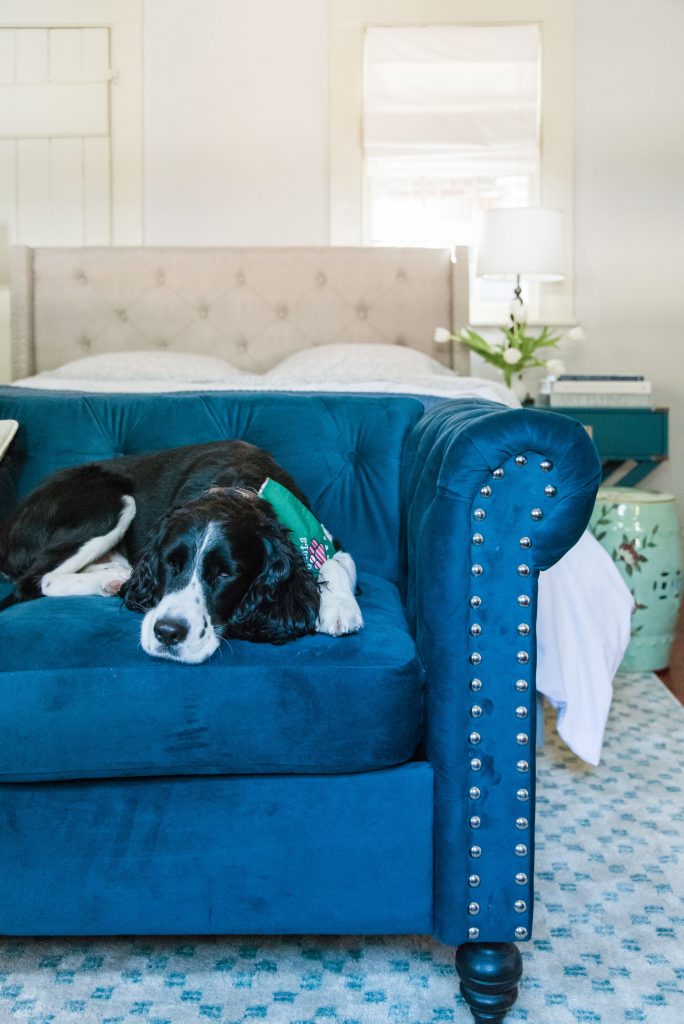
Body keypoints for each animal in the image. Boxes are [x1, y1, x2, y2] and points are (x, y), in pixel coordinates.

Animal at [0, 440, 362, 663]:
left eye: (225, 574)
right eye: (169, 563)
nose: (167, 633)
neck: (237, 488)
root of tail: (10, 520)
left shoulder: (323, 536)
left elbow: (335, 563)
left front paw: (340, 608)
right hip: (111, 502)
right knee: (37, 580)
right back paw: (112, 578)